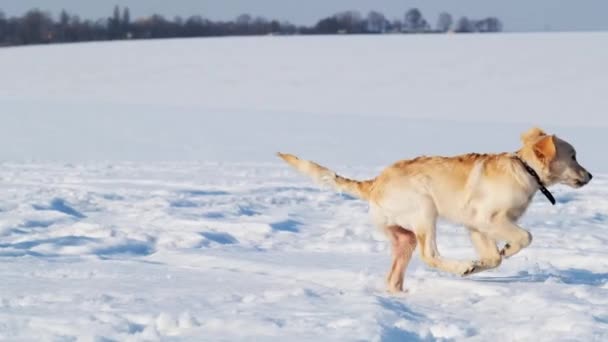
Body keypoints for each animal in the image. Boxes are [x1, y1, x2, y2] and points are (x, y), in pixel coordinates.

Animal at [278, 127, 592, 292]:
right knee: (429, 254)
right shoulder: (487, 218)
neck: (526, 171)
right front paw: (499, 252)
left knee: (394, 276)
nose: (590, 176)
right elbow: (524, 237)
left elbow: (493, 258)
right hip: (424, 210)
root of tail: (375, 183)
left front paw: (480, 264)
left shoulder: (475, 225)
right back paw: (458, 266)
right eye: (574, 156)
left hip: (403, 237)